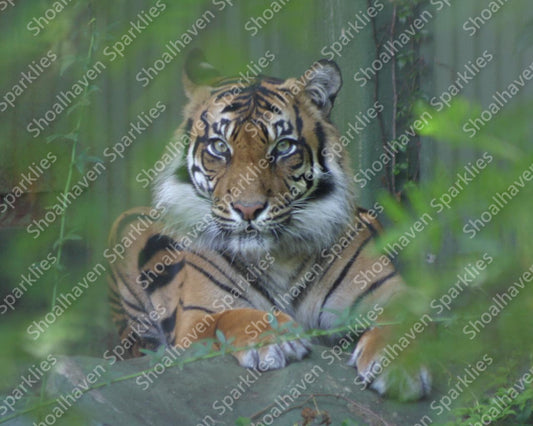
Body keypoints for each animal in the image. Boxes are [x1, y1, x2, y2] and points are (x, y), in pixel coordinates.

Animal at [106, 51, 430, 402]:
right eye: (220, 147)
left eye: (283, 147)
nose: (248, 209)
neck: (277, 258)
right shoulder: (196, 318)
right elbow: (232, 316)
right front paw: (276, 336)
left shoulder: (394, 293)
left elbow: (408, 320)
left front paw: (402, 365)